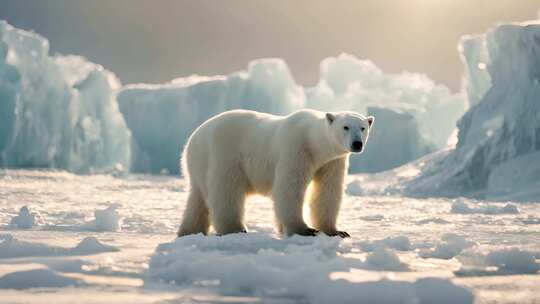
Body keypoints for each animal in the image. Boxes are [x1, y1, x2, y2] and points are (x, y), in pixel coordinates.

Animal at [177, 108, 372, 238]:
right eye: (346, 127)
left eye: (363, 128)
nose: (357, 144)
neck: (313, 141)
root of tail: (193, 139)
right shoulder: (296, 148)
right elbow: (290, 187)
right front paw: (304, 229)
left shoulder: (332, 162)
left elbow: (328, 191)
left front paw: (336, 231)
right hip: (224, 155)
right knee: (226, 190)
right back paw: (235, 228)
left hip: (200, 165)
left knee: (198, 199)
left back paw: (188, 231)